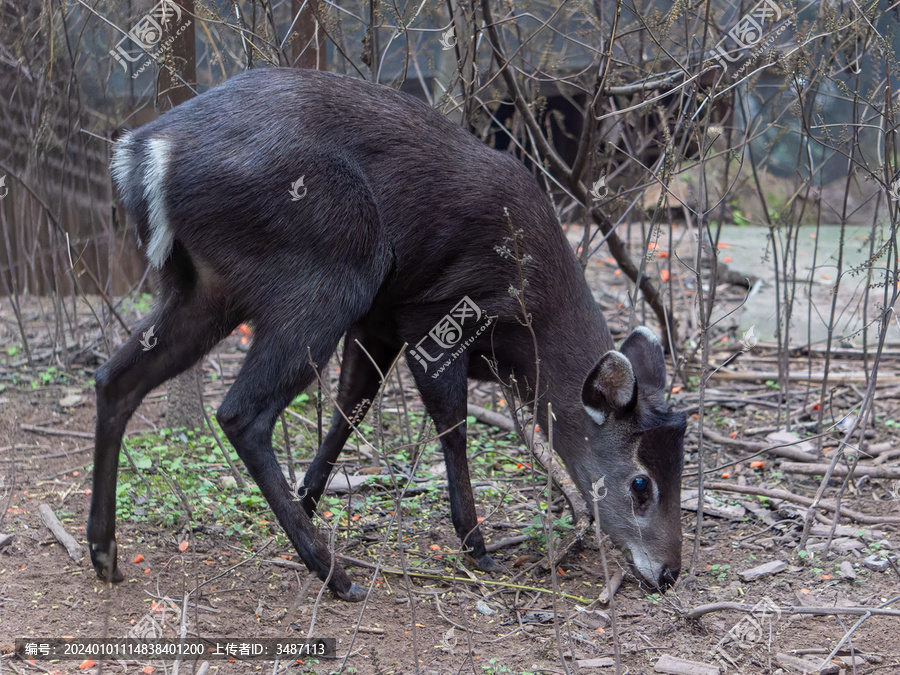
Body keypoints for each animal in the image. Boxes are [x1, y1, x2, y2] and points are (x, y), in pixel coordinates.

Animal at [89, 67, 684, 604]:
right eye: (640, 484)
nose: (669, 573)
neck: (530, 316)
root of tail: (147, 154)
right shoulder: (435, 317)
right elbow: (451, 425)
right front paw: (477, 547)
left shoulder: (379, 321)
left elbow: (351, 406)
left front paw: (308, 498)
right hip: (334, 266)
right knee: (241, 412)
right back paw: (336, 576)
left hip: (206, 287)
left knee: (114, 378)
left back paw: (104, 552)